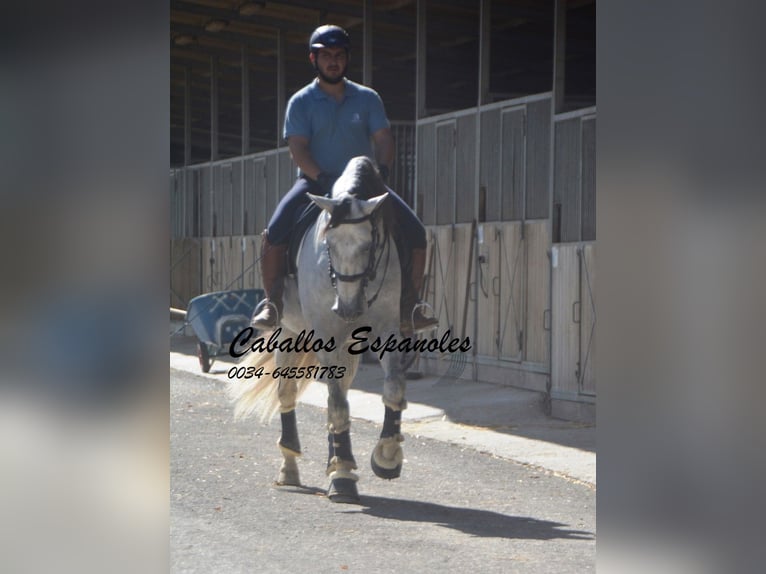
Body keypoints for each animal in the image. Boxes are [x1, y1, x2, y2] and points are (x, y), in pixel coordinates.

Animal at [231, 158, 412, 504]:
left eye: (370, 244)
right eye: (328, 243)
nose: (348, 308)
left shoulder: (387, 329)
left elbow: (393, 388)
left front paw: (386, 457)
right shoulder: (326, 335)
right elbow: (339, 404)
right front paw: (342, 475)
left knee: (334, 396)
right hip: (288, 334)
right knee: (290, 394)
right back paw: (292, 468)